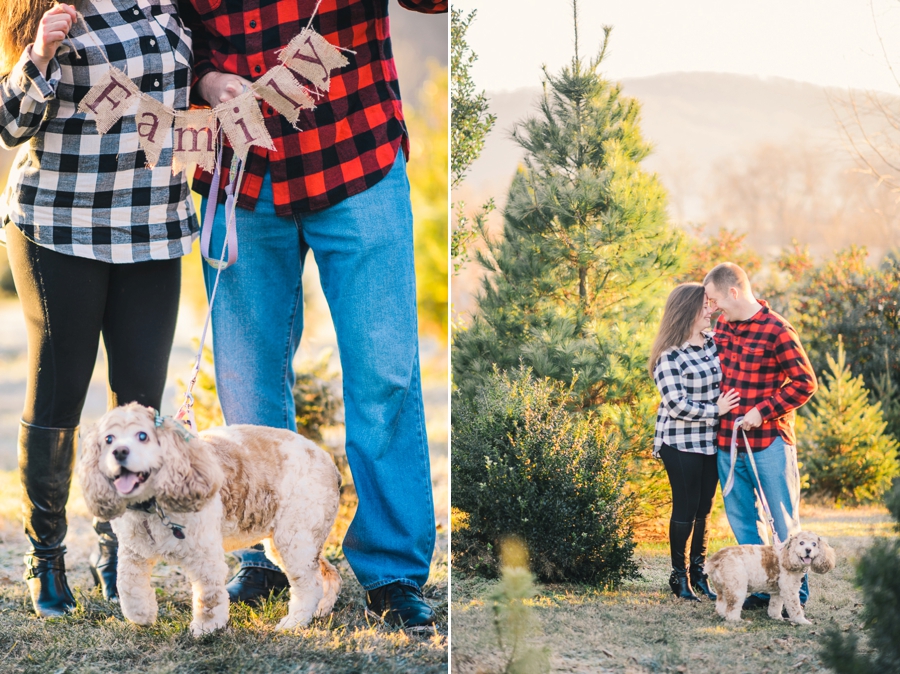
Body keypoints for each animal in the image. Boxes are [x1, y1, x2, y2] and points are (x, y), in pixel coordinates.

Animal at [75, 404, 342, 636]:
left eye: (143, 436)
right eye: (109, 439)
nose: (119, 452)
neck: (152, 506)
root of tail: (328, 461)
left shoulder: (205, 557)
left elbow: (209, 596)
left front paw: (206, 628)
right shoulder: (133, 552)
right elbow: (127, 584)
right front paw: (142, 615)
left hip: (295, 538)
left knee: (309, 584)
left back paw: (294, 622)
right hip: (293, 541)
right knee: (328, 571)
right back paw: (321, 609)